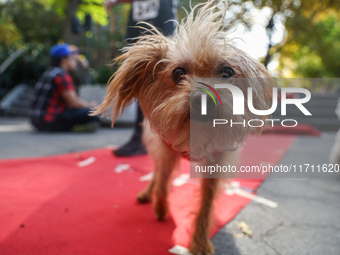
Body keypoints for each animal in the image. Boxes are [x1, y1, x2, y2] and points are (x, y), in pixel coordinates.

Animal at [94, 0, 272, 254]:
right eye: (178, 73)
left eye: (228, 72)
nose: (204, 98)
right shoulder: (166, 148)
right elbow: (162, 180)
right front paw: (160, 205)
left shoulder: (216, 162)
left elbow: (206, 203)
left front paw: (199, 240)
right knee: (157, 173)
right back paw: (148, 193)